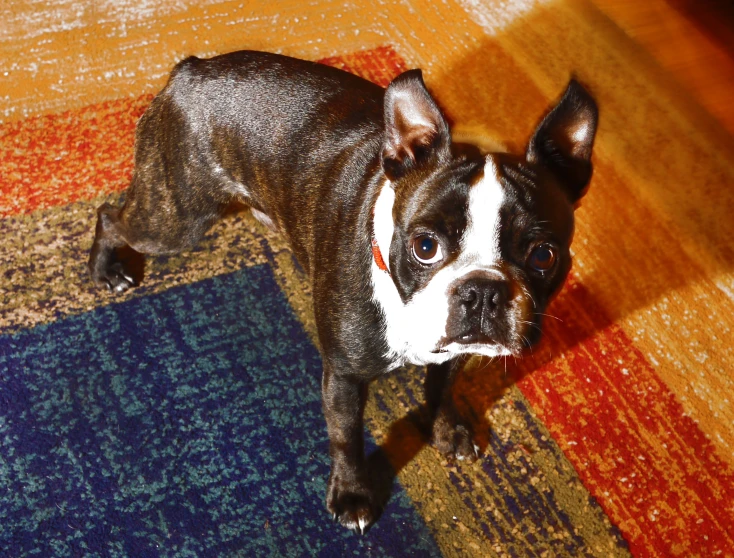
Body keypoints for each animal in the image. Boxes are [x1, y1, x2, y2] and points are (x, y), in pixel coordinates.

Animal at [90, 50, 600, 536]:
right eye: (425, 247)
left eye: (543, 255)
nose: (482, 290)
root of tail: (191, 70)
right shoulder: (345, 376)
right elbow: (346, 436)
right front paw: (354, 496)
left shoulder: (454, 350)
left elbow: (441, 386)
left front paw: (447, 430)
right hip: (176, 218)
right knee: (112, 216)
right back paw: (106, 268)